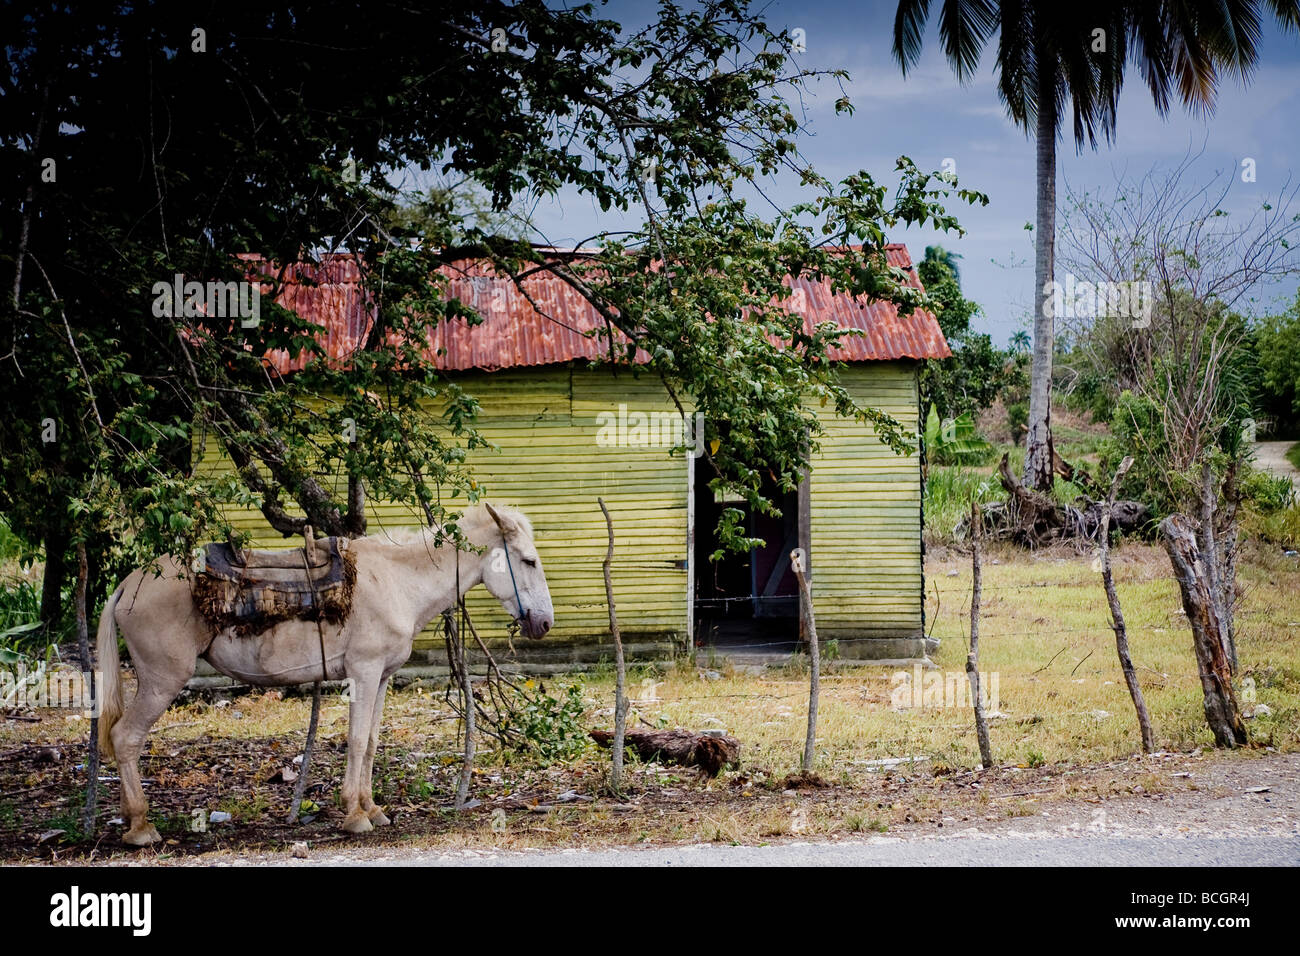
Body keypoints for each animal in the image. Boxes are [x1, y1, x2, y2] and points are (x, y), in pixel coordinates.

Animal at [94, 502, 553, 842]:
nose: (545, 623)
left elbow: (371, 743)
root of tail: (128, 583)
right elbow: (356, 741)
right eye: (529, 561)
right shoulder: (363, 672)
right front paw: (354, 815)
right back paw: (140, 827)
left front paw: (373, 809)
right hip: (162, 680)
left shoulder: (382, 677)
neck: (397, 581)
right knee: (126, 738)